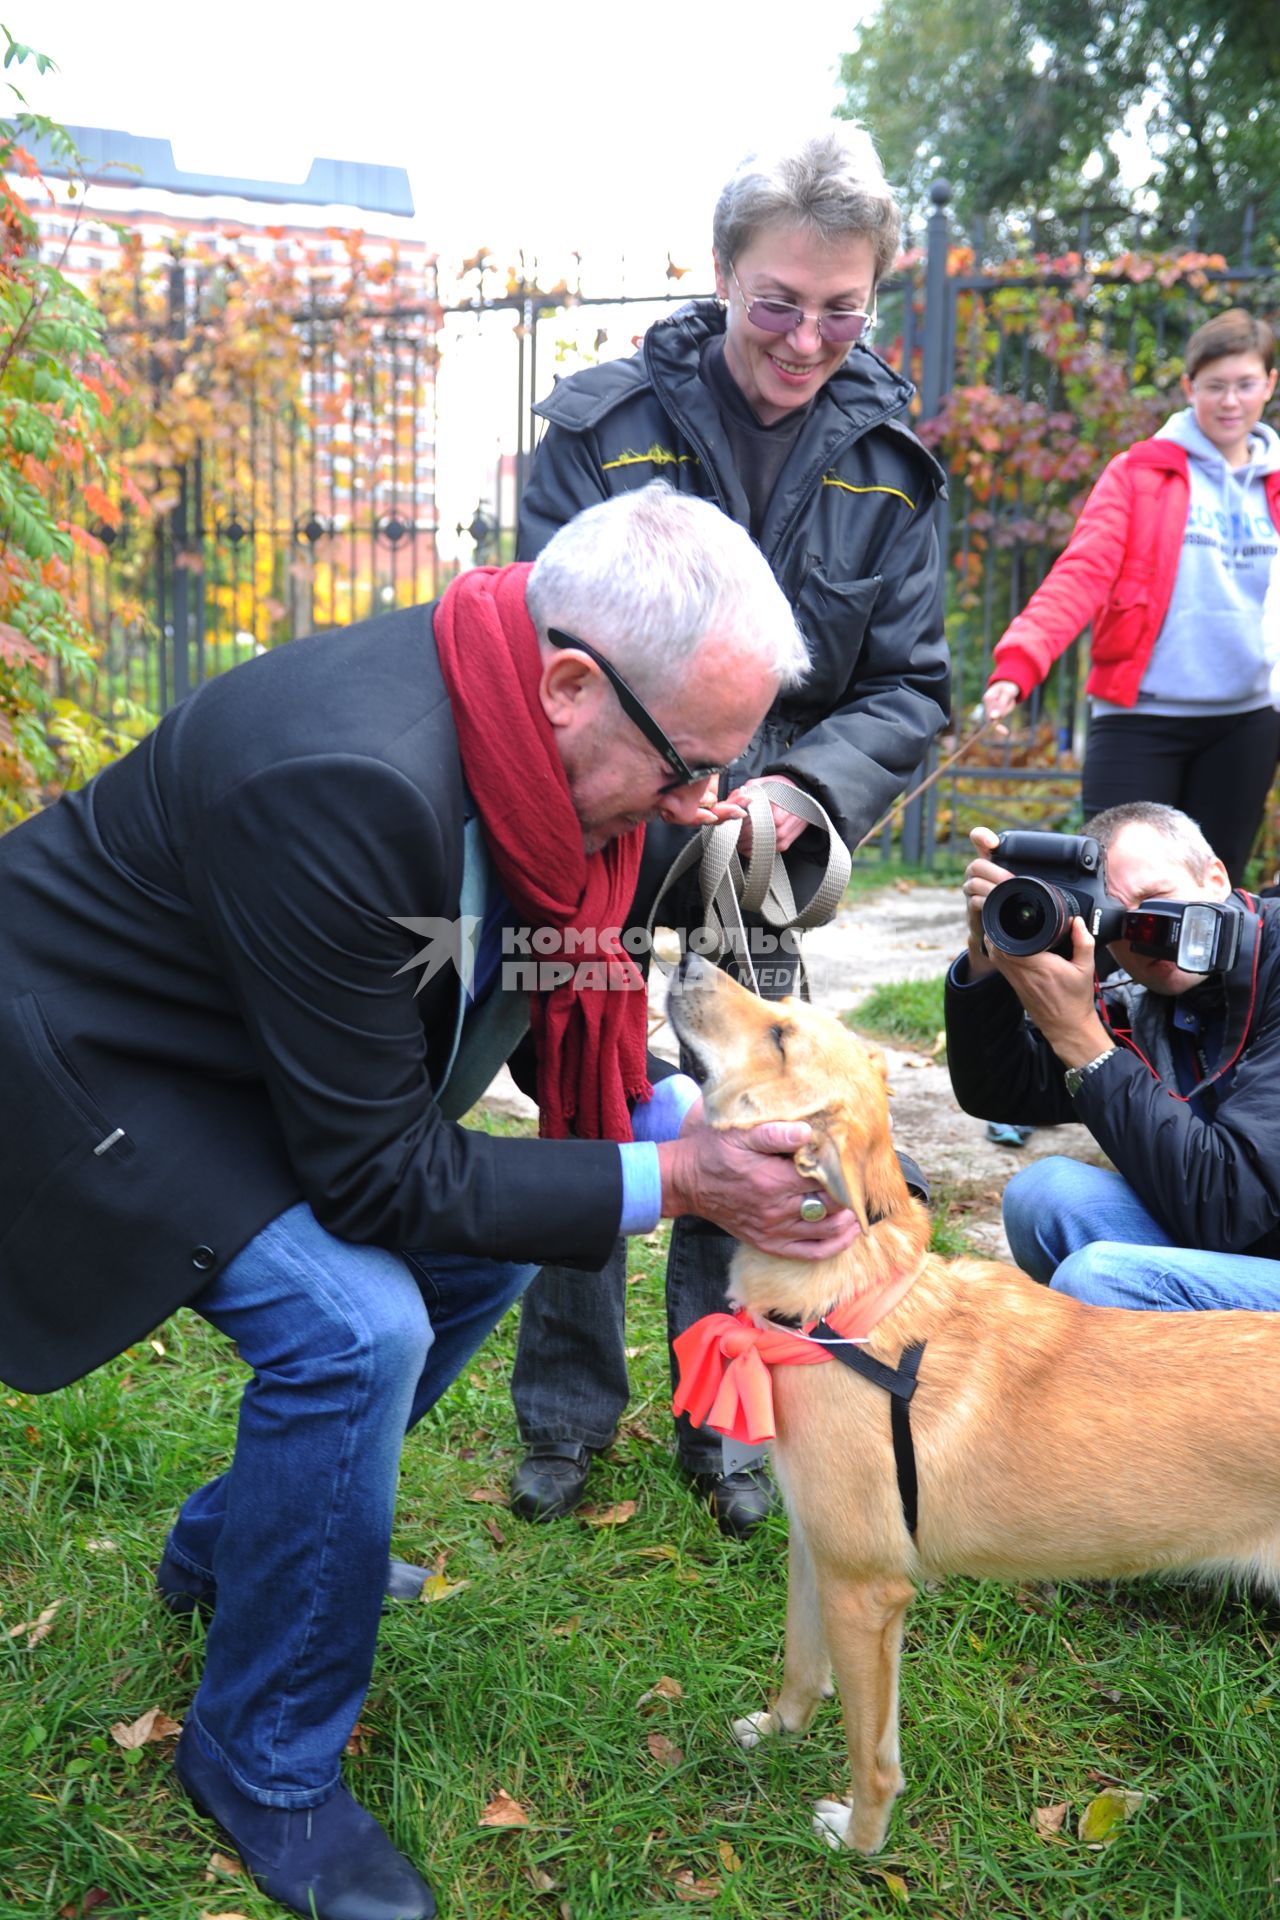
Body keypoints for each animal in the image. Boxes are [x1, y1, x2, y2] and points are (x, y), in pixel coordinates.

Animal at [667, 960, 1280, 1858]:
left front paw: (860, 1840)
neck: (851, 1306)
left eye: (780, 1034)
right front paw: (778, 1730)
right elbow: (800, 1666)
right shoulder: (817, 1552)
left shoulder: (866, 1590)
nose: (685, 961)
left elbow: (872, 1755)